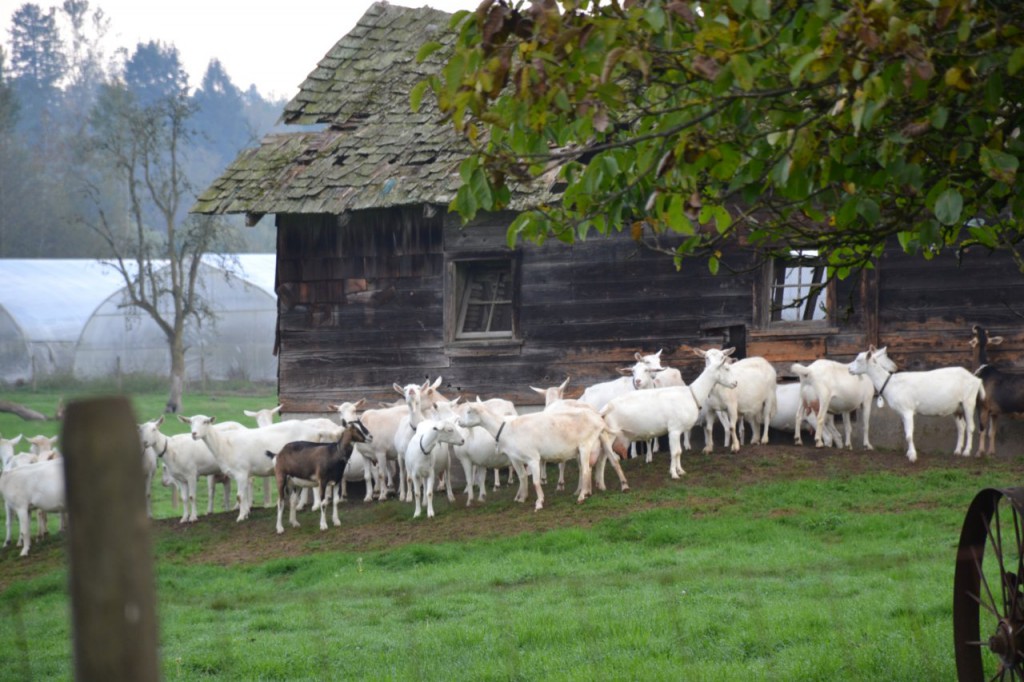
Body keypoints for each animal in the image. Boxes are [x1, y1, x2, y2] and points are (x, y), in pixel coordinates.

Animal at [598, 346, 737, 477]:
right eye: (726, 368)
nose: (735, 383)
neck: (692, 393)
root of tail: (605, 408)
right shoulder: (674, 430)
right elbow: (674, 452)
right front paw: (674, 474)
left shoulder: (678, 430)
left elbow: (678, 451)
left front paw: (680, 471)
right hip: (610, 434)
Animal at [847, 346, 983, 462]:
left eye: (859, 360)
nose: (849, 369)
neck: (892, 384)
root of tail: (976, 379)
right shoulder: (902, 412)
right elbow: (906, 433)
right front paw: (909, 453)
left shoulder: (907, 410)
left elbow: (909, 435)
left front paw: (912, 456)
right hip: (957, 407)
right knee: (961, 427)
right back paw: (957, 451)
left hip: (969, 402)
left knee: (970, 427)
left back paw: (966, 452)